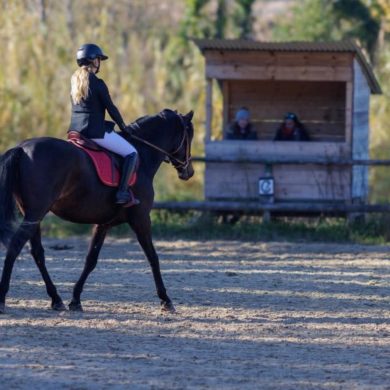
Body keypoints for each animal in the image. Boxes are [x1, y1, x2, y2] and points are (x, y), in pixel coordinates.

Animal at [0, 109, 195, 314]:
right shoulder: (141, 218)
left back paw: (56, 299)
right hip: (36, 212)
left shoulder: (103, 223)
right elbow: (153, 257)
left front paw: (75, 300)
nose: (188, 172)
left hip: (33, 215)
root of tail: (21, 148)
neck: (143, 155)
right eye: (189, 134)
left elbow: (91, 259)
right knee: (15, 246)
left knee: (37, 252)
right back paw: (3, 298)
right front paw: (166, 300)